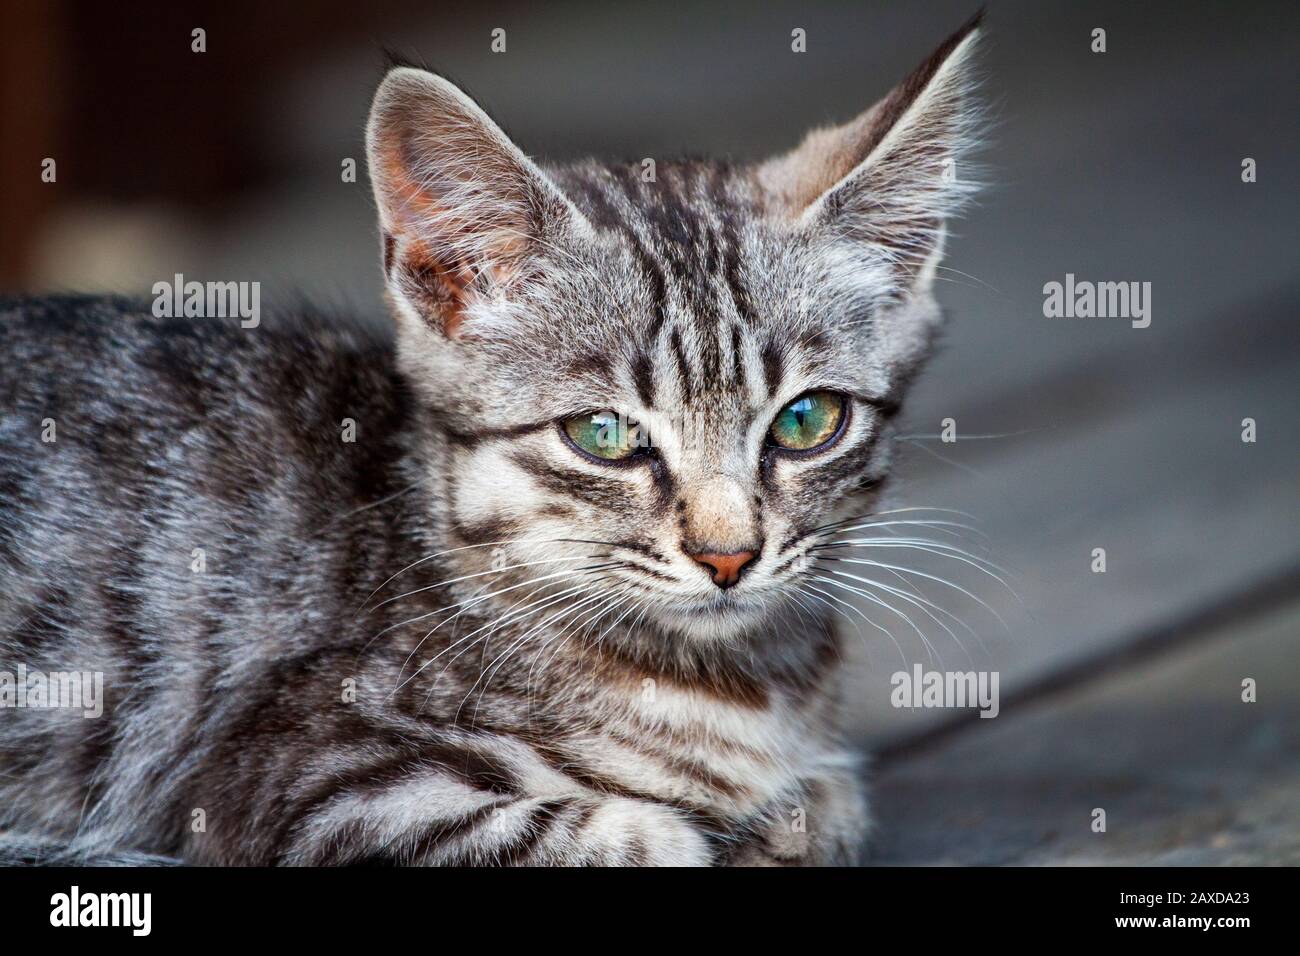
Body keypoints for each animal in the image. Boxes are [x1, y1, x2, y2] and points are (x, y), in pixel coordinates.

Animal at [0, 14, 977, 868]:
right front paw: (723, 825)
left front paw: (784, 816)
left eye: (807, 422)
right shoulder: (308, 783)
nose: (728, 556)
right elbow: (641, 838)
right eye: (604, 434)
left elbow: (830, 802)